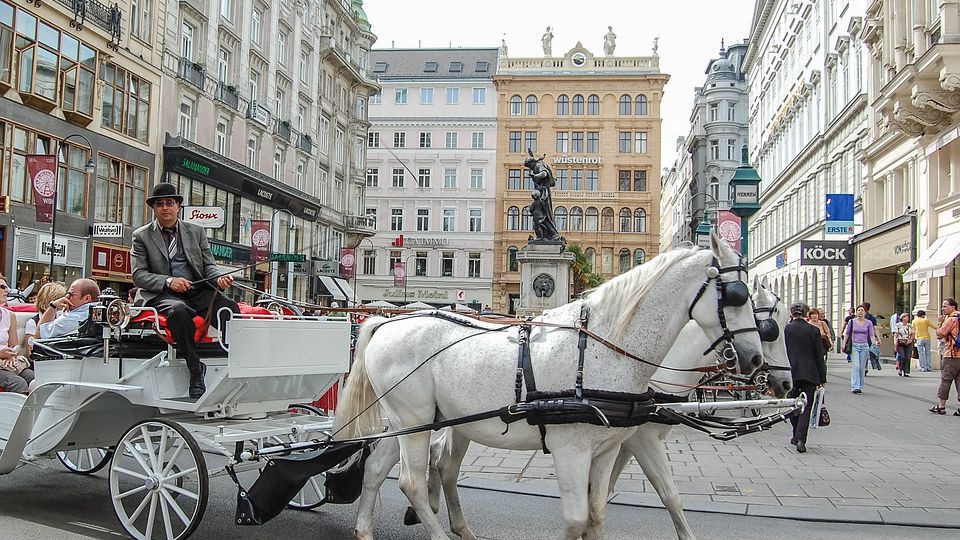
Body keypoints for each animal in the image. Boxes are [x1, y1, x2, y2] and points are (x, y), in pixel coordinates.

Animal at [334, 237, 760, 540]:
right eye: (737, 295)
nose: (754, 359)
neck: (603, 346)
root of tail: (386, 323)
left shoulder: (606, 450)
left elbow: (597, 516)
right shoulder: (571, 450)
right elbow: (575, 520)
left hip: (409, 422)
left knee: (377, 469)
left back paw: (365, 530)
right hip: (415, 423)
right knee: (412, 482)